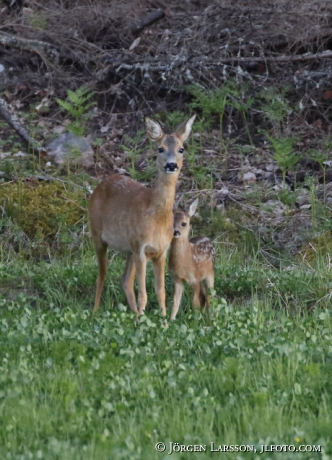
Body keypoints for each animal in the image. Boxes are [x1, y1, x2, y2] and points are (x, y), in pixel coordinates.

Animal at [89, 114, 196, 316]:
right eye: (160, 148)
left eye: (181, 149)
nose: (171, 165)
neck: (157, 218)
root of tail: (100, 185)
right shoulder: (140, 248)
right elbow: (144, 294)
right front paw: (144, 321)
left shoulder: (159, 251)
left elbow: (161, 292)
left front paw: (163, 321)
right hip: (98, 235)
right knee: (102, 275)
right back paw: (95, 312)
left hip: (129, 249)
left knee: (125, 281)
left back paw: (134, 315)